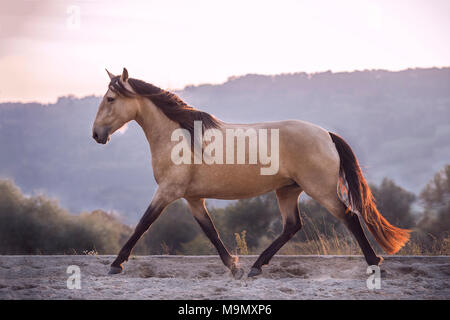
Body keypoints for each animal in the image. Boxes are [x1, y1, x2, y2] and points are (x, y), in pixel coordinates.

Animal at [92, 68, 412, 278]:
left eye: (110, 99)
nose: (96, 134)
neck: (180, 136)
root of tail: (326, 134)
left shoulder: (168, 191)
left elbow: (143, 224)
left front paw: (116, 264)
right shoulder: (193, 198)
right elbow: (210, 231)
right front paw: (233, 266)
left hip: (319, 189)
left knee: (349, 216)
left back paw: (373, 262)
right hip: (288, 190)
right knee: (292, 226)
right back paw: (257, 266)